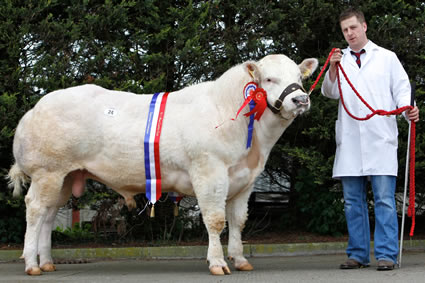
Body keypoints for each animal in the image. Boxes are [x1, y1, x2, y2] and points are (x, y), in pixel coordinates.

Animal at [8, 54, 316, 276]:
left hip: (65, 176)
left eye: (299, 77)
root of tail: (35, 108)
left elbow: (238, 221)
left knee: (48, 215)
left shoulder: (245, 180)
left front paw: (240, 259)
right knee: (35, 210)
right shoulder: (209, 171)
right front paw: (218, 263)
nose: (300, 98)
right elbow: (216, 220)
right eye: (269, 78)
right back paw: (31, 264)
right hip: (47, 172)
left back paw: (47, 262)